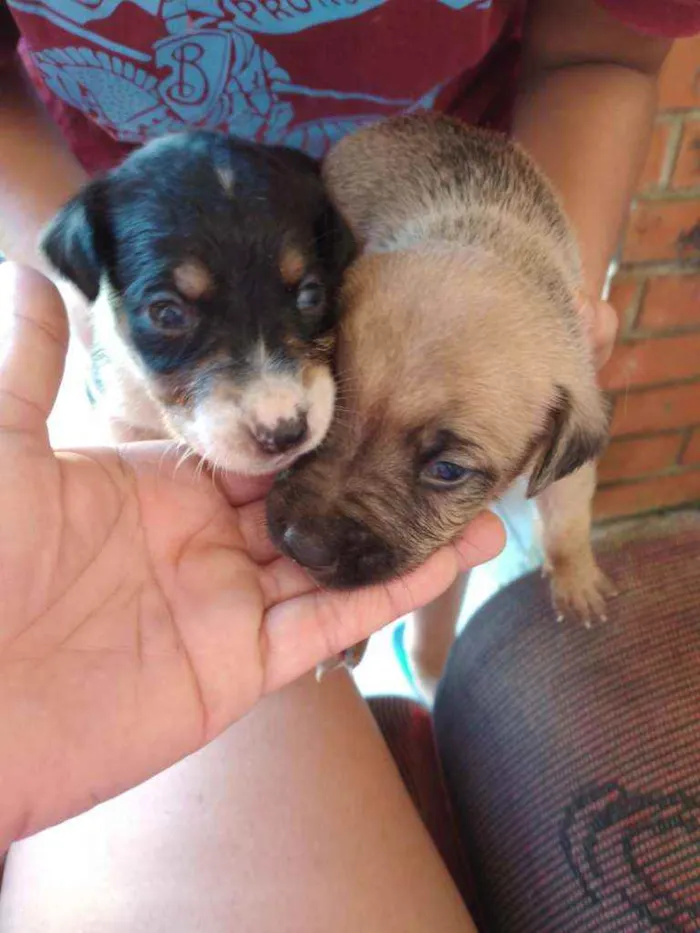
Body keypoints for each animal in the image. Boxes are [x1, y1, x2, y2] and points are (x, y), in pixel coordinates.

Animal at [266, 114, 612, 656]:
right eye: (326, 412)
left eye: (448, 471)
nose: (302, 545)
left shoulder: (568, 457)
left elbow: (568, 517)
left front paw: (576, 577)